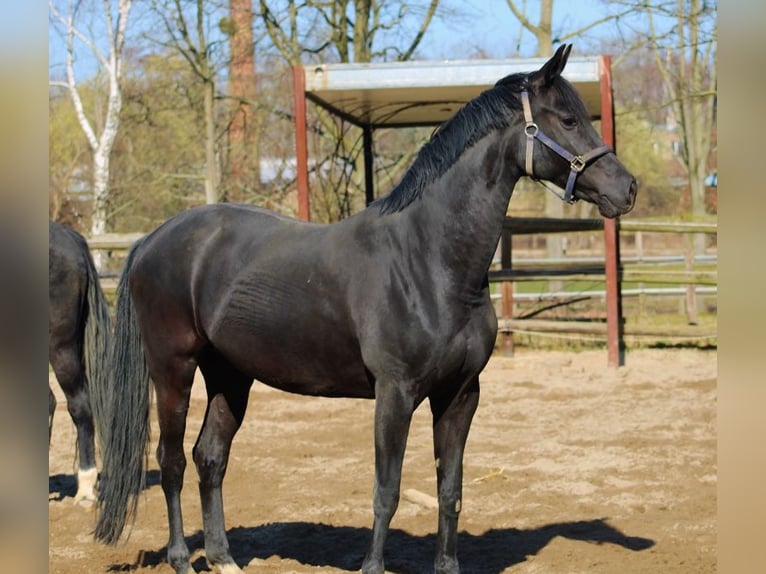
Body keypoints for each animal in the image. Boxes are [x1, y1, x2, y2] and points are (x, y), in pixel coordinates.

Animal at [94, 46, 636, 574]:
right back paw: (181, 560)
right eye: (567, 119)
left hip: (230, 374)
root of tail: (152, 241)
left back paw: (225, 559)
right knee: (171, 462)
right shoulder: (394, 394)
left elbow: (450, 491)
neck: (429, 259)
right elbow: (386, 492)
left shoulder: (461, 395)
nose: (627, 188)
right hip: (173, 369)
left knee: (210, 456)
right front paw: (373, 566)